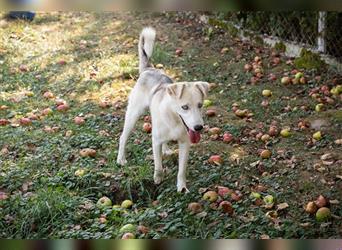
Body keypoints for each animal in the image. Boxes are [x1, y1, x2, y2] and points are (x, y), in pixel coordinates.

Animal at [117, 26, 208, 191]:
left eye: (200, 105)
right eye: (184, 107)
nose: (198, 127)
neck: (175, 121)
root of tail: (149, 69)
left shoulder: (185, 144)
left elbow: (181, 170)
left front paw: (182, 188)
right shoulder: (156, 142)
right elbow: (158, 165)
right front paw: (157, 180)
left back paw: (166, 149)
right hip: (133, 115)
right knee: (123, 137)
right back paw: (121, 159)